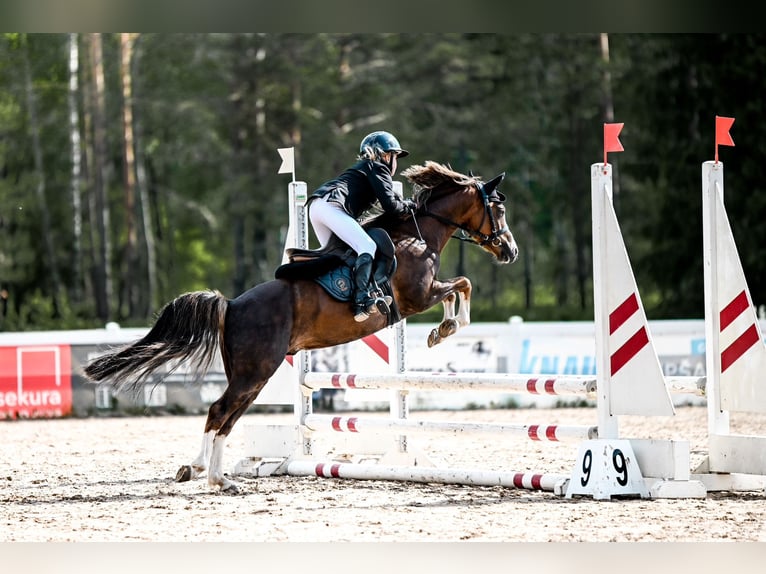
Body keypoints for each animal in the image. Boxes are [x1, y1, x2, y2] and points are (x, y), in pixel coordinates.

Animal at [83, 160, 519, 493]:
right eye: (498, 210)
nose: (510, 251)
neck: (418, 235)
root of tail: (232, 305)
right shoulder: (418, 296)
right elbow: (463, 285)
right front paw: (445, 329)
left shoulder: (422, 295)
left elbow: (459, 287)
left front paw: (443, 328)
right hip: (258, 369)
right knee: (219, 410)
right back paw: (210, 476)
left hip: (251, 375)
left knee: (227, 417)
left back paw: (212, 474)